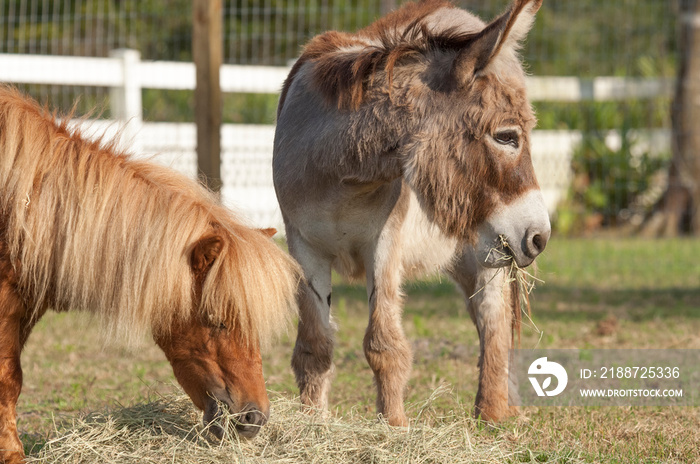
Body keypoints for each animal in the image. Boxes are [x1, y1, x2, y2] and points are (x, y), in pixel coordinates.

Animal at [274, 0, 552, 426]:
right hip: (468, 251)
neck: (341, 178)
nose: (541, 238)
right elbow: (314, 345)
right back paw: (506, 404)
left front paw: (393, 427)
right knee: (486, 315)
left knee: (493, 316)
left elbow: (384, 344)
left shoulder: (386, 241)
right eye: (507, 136)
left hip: (485, 251)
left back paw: (491, 414)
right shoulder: (303, 245)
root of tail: (457, 12)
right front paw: (312, 422)